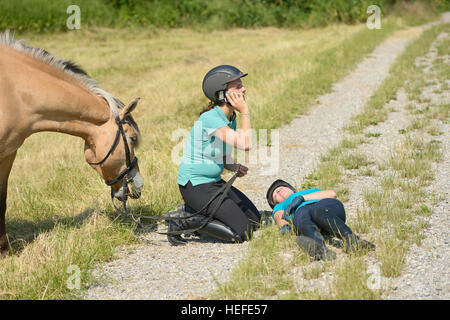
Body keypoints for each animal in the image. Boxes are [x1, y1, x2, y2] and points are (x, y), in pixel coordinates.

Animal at [0, 29, 143, 255]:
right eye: (132, 138)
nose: (138, 184)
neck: (13, 90)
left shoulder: (7, 154)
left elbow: (2, 198)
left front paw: (4, 250)